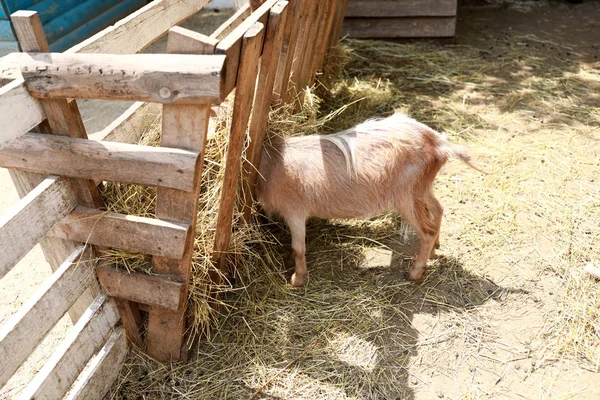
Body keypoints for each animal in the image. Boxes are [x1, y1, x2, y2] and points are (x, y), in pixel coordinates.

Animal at [255, 112, 480, 286]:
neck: (272, 165)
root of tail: (440, 144)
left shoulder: (295, 211)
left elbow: (298, 248)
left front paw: (296, 280)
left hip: (406, 197)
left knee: (427, 231)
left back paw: (415, 272)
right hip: (421, 189)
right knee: (438, 210)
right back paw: (433, 252)